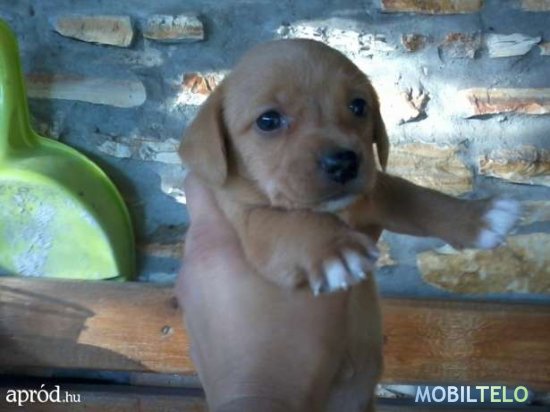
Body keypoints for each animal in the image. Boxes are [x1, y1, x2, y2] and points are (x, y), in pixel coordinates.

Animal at [179, 39, 520, 411]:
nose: (343, 162)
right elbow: (290, 221)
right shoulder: (251, 220)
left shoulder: (374, 192)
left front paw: (477, 216)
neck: (339, 213)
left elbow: (418, 196)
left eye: (359, 106)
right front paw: (334, 249)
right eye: (268, 120)